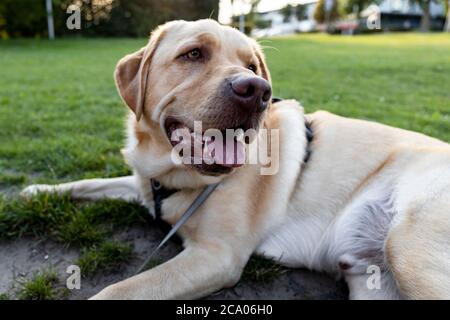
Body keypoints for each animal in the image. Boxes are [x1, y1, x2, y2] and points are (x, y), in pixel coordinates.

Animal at [22, 20, 450, 300]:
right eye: (193, 54)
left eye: (252, 67)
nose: (258, 90)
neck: (173, 172)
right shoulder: (143, 183)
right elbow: (92, 182)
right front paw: (38, 190)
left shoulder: (216, 257)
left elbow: (117, 291)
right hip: (371, 281)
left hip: (407, 248)